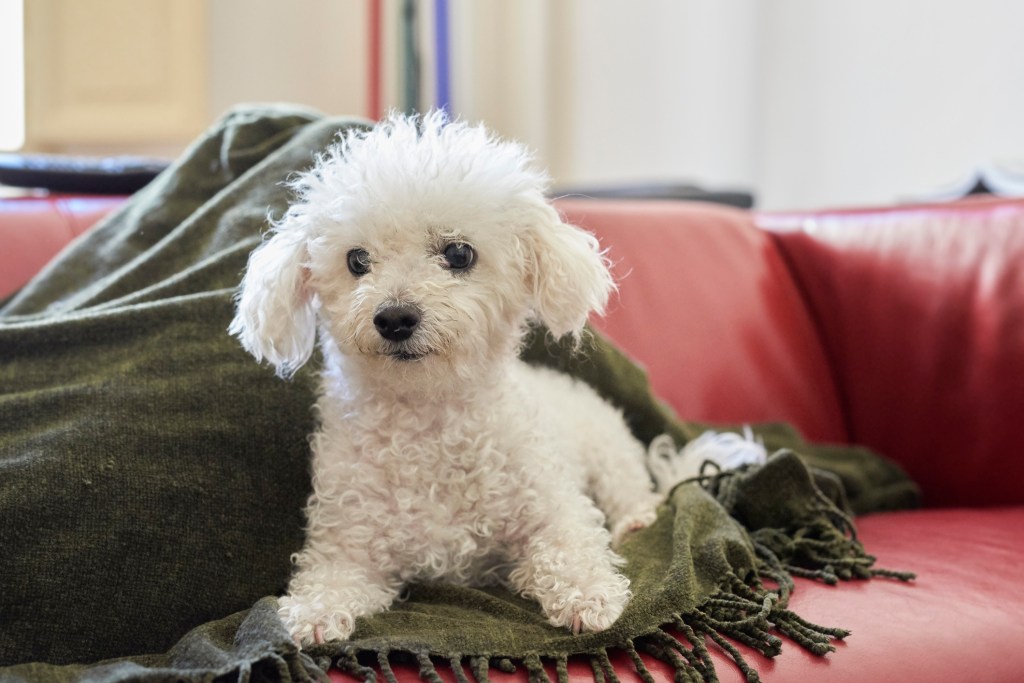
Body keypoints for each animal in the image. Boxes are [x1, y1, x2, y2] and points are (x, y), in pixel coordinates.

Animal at [228, 112, 663, 647]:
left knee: (631, 492)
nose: (394, 318)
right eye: (356, 260)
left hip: (609, 452)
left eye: (458, 254)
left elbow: (570, 543)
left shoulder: (552, 505)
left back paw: (637, 520)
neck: (428, 418)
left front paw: (588, 595)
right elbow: (330, 578)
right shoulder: (349, 544)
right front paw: (313, 612)